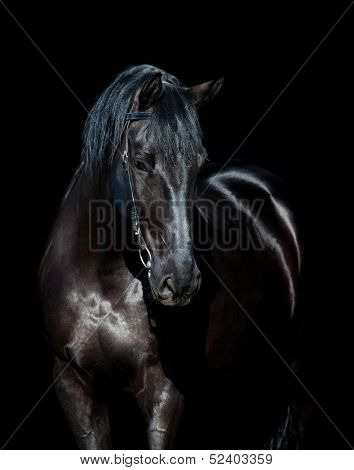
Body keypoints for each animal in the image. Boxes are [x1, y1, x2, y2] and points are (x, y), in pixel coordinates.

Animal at [40, 64, 302, 450]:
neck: (101, 285)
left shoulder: (163, 392)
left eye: (198, 162)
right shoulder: (74, 386)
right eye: (140, 163)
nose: (180, 281)